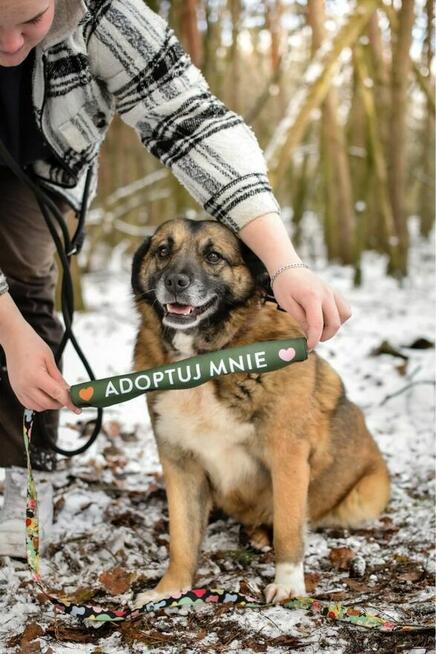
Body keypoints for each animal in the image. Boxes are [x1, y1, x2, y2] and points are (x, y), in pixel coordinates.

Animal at [131, 218, 390, 608]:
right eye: (163, 250)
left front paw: (288, 585)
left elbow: (288, 528)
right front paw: (170, 588)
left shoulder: (288, 458)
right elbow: (182, 537)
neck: (205, 359)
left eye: (213, 256)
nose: (175, 281)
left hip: (360, 499)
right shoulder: (180, 463)